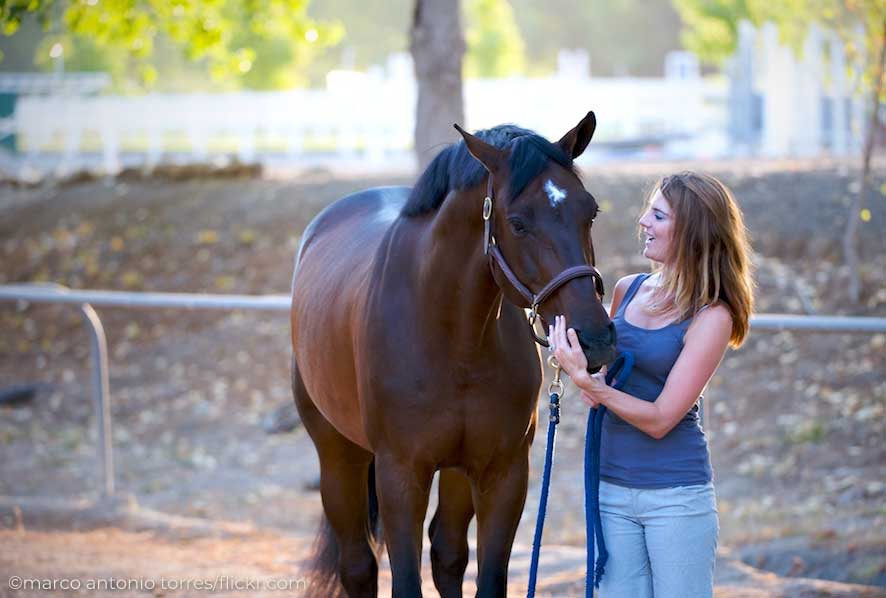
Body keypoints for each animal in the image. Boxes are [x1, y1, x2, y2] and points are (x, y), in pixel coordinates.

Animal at [292, 110, 616, 596]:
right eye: (517, 222)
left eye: (590, 211)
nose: (594, 339)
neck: (456, 341)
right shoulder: (401, 475)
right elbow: (405, 582)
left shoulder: (502, 473)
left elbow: (486, 577)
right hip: (337, 454)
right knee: (358, 565)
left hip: (458, 471)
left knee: (447, 553)